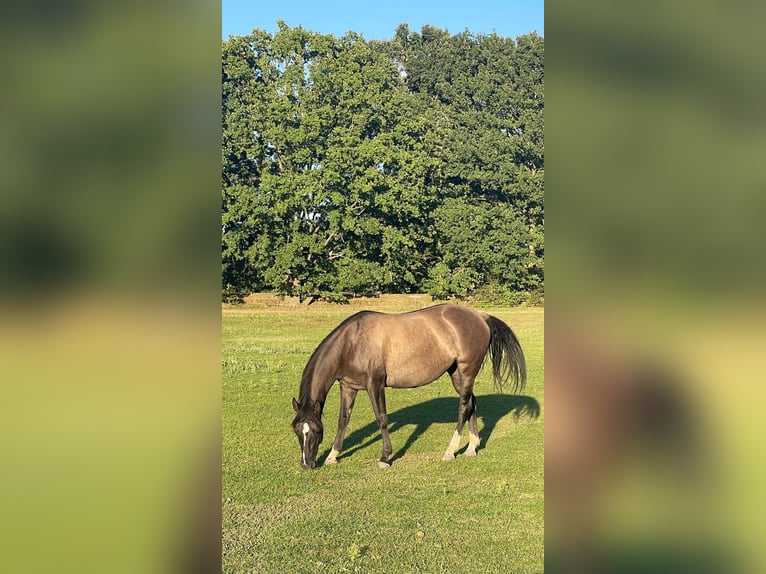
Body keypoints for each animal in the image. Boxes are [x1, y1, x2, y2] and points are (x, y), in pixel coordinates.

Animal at [291, 304, 527, 469]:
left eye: (316, 431)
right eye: (297, 430)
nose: (306, 464)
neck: (353, 342)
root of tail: (480, 317)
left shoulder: (375, 384)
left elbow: (382, 419)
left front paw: (385, 457)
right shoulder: (348, 386)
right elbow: (343, 420)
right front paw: (333, 455)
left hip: (467, 371)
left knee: (462, 408)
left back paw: (450, 451)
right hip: (457, 374)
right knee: (471, 403)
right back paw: (471, 448)